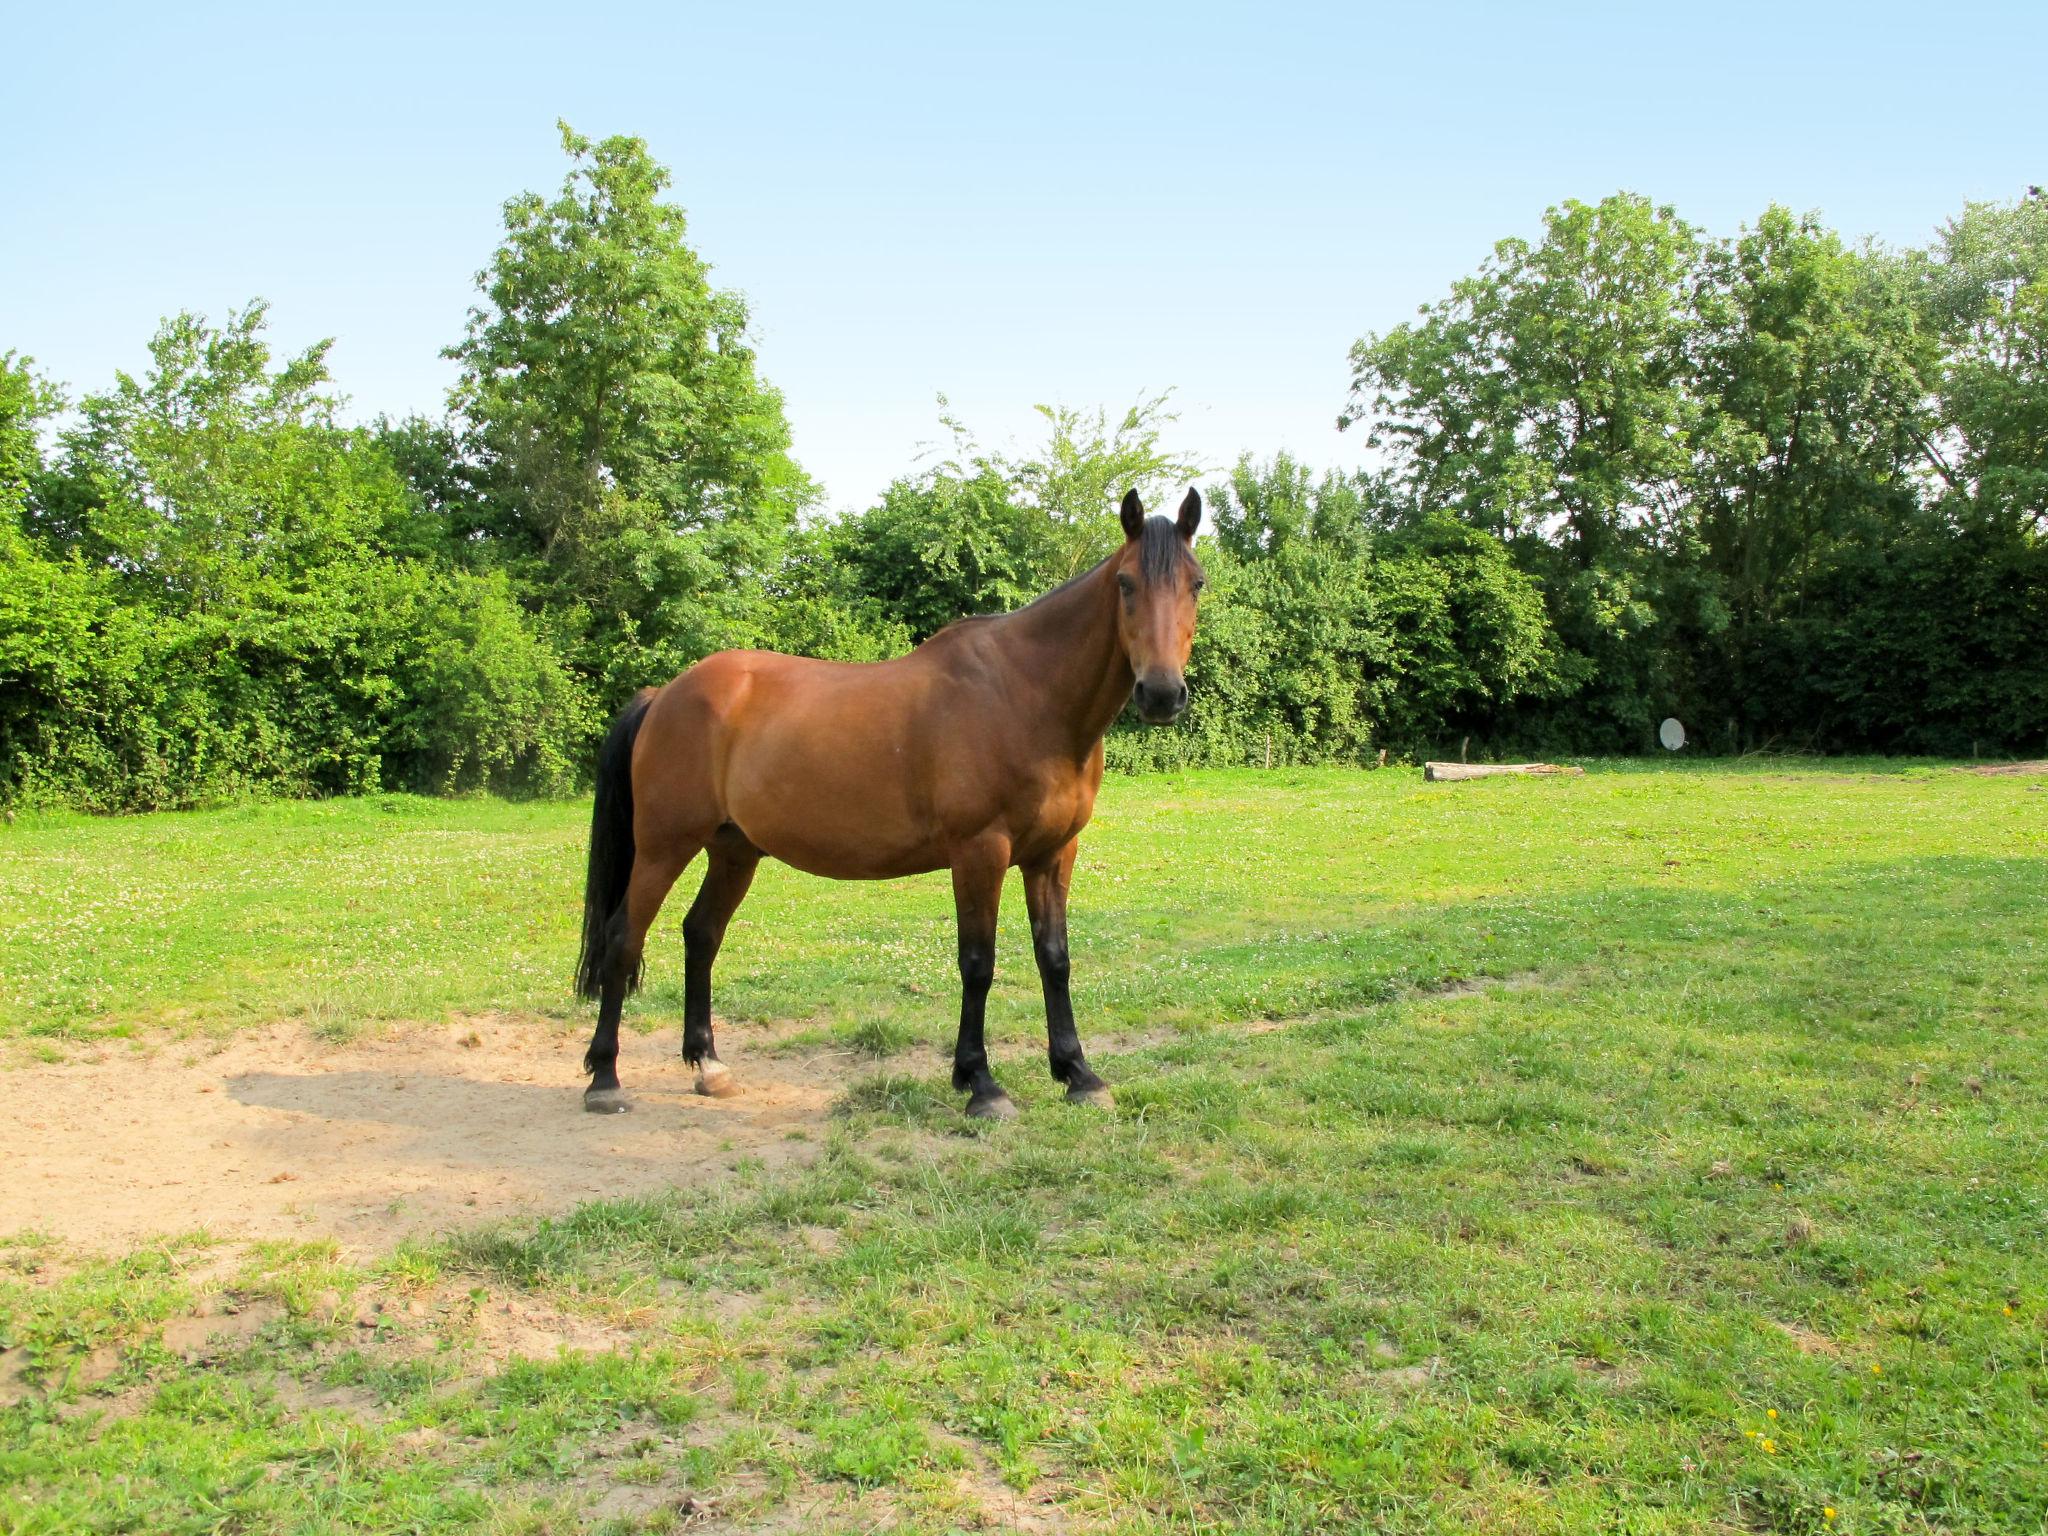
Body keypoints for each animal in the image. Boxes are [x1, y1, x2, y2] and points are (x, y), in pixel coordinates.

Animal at [569, 489, 1204, 1122]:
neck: (1025, 694)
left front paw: (1077, 1072)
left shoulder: (1053, 853)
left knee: (701, 934)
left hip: (734, 850)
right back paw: (605, 1077)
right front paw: (981, 1083)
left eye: (1196, 583)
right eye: (1124, 583)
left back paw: (709, 1066)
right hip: (663, 848)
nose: (1161, 693)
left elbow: (1055, 957)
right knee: (623, 940)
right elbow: (978, 963)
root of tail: (665, 695)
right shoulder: (980, 852)